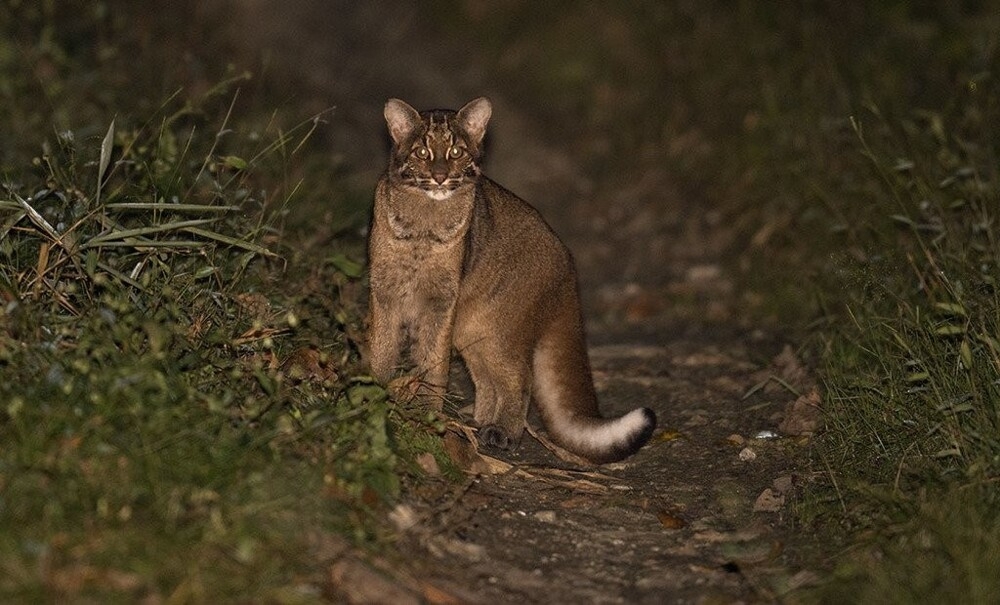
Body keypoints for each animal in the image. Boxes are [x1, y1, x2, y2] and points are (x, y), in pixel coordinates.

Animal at [368, 98, 656, 462]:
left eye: (456, 151)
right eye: (422, 152)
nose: (440, 176)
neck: (423, 230)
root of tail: (567, 260)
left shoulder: (441, 302)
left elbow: (433, 361)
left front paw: (427, 414)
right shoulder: (384, 291)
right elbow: (381, 347)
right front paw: (374, 393)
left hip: (500, 329)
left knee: (519, 378)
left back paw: (504, 431)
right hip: (473, 329)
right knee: (489, 379)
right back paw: (479, 421)